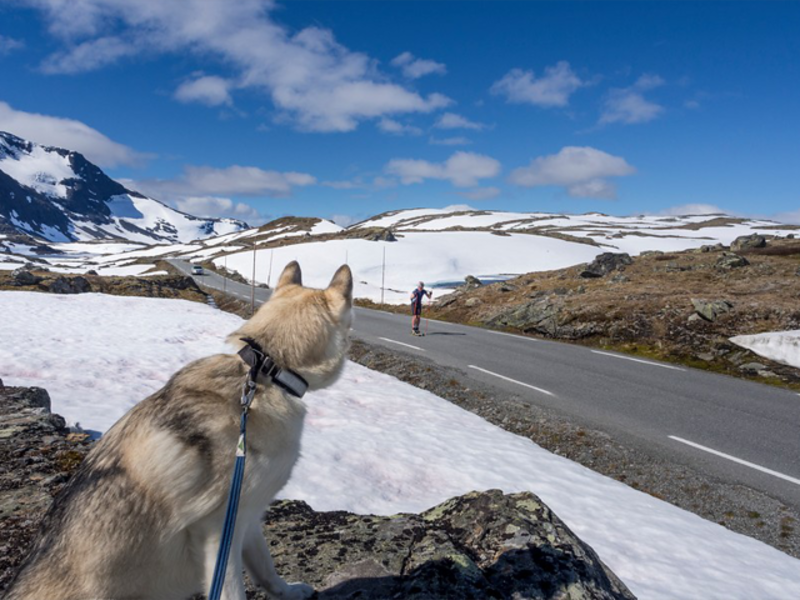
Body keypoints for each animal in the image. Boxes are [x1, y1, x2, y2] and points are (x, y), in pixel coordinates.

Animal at [5, 262, 350, 600]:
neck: (265, 372)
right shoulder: (219, 531)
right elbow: (232, 589)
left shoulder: (247, 516)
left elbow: (265, 566)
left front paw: (287, 591)